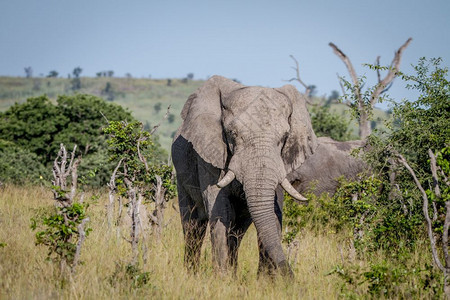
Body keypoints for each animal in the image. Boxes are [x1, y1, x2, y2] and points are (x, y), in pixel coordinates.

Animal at [171, 75, 364, 276]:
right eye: (232, 134)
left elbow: (273, 210)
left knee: (238, 229)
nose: (291, 277)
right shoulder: (209, 153)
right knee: (193, 224)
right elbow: (220, 210)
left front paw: (265, 280)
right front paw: (222, 279)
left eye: (284, 137)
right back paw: (191, 273)